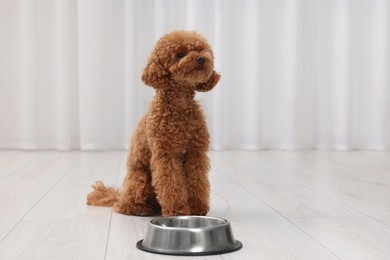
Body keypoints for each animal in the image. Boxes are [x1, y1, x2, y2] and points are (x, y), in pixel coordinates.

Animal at [87, 30, 219, 216]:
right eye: (180, 54)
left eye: (202, 50)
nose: (201, 58)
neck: (180, 105)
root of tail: (119, 196)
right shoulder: (165, 154)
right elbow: (170, 184)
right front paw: (177, 210)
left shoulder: (196, 152)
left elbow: (197, 181)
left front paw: (196, 208)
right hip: (140, 180)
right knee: (125, 206)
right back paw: (140, 208)